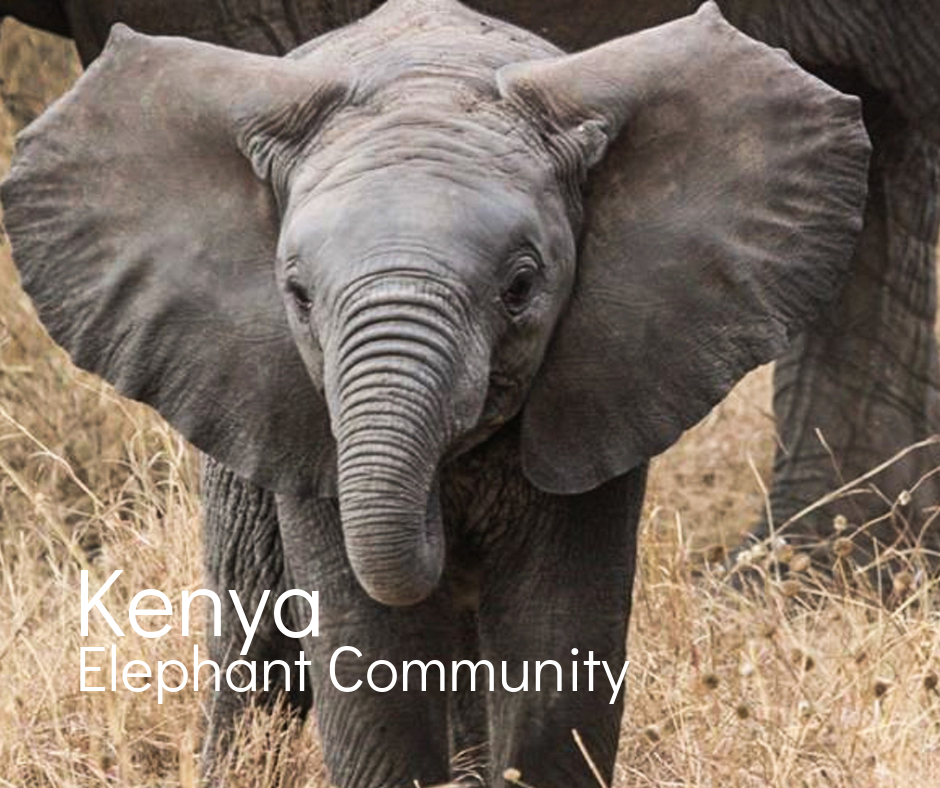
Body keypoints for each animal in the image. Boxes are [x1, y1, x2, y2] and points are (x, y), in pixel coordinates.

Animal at [2, 1, 869, 785]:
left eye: (521, 287)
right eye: (298, 295)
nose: (440, 521)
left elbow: (557, 643)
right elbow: (369, 656)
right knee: (258, 646)